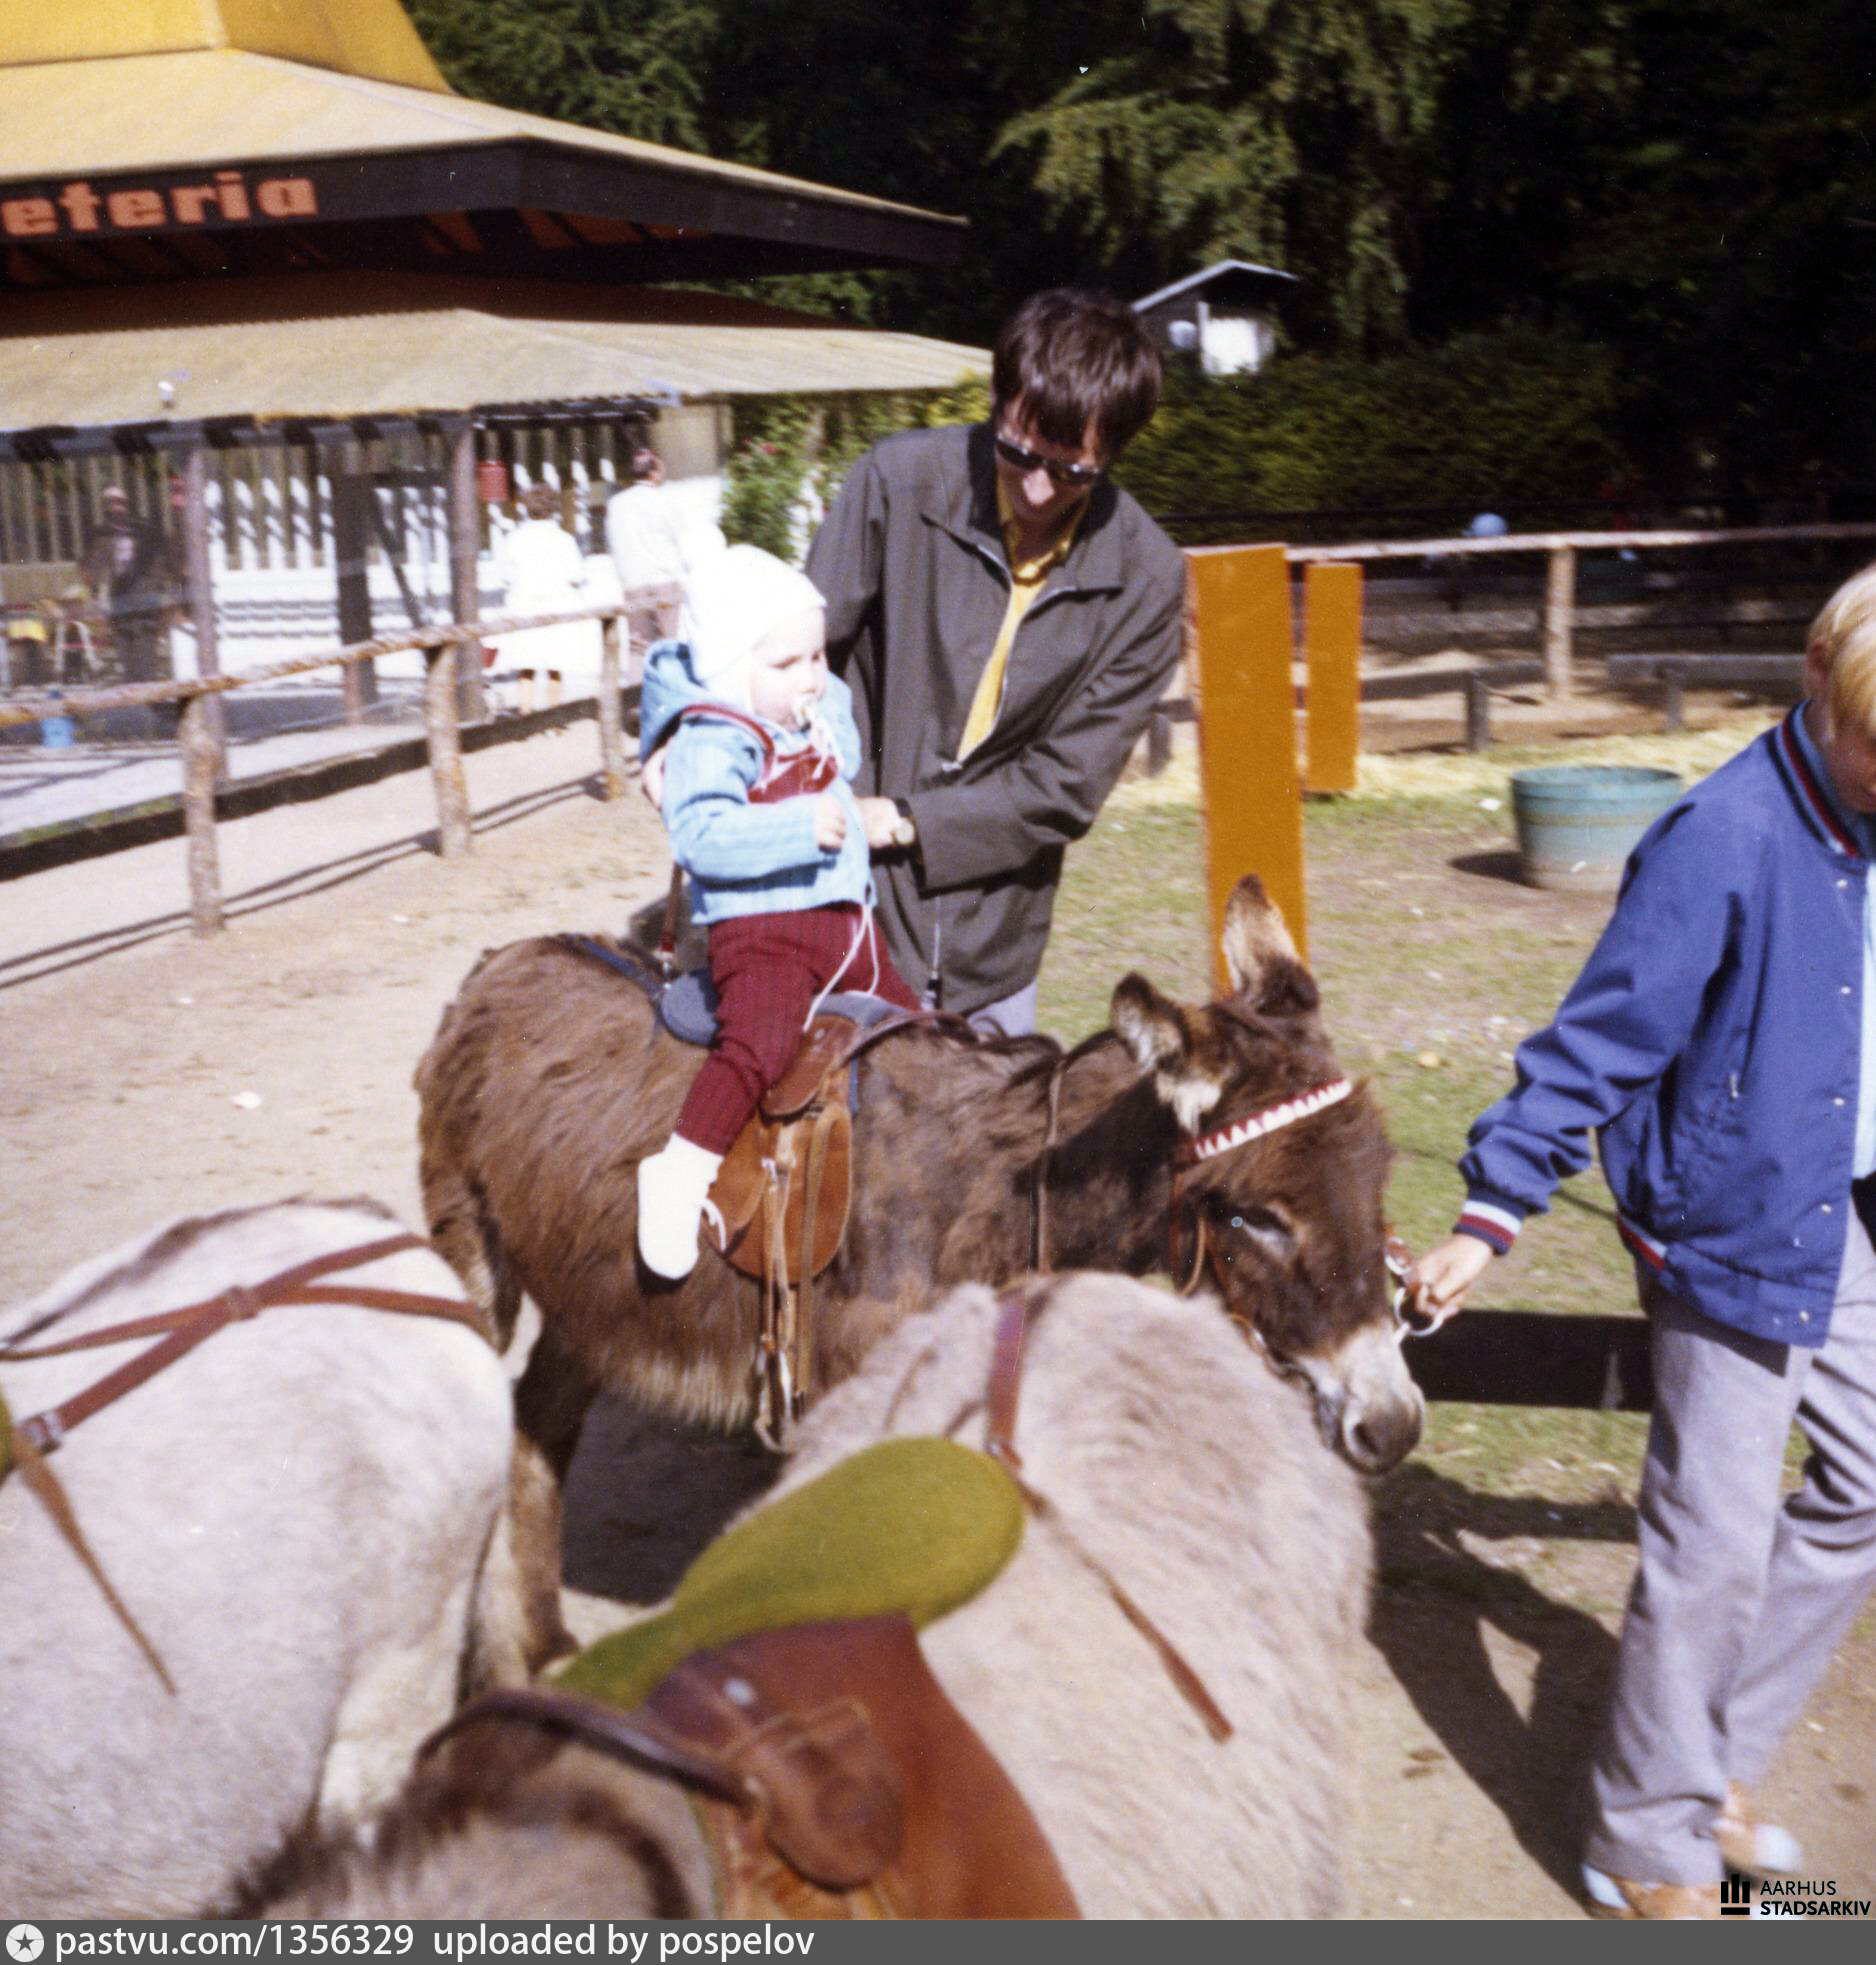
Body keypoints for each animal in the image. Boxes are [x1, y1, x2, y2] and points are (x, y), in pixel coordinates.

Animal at [416, 873, 1421, 1665]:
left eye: (1378, 1175)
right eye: (1258, 1215)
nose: (1394, 1424)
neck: (999, 1196)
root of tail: (500, 958)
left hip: (591, 1300)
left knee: (536, 1428)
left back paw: (540, 1646)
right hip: (474, 1259)